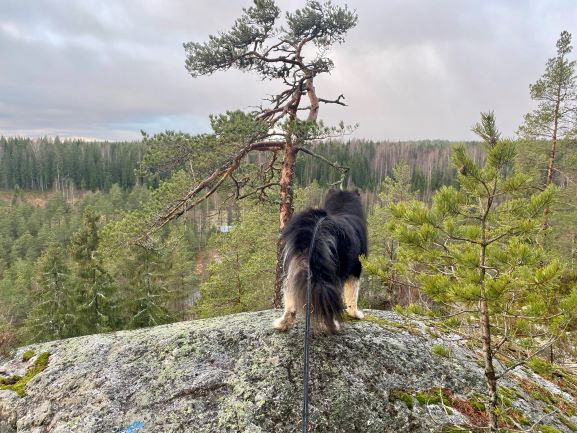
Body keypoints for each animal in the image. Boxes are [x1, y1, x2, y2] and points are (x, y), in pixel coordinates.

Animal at [272, 187, 366, 332]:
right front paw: (355, 314)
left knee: (290, 300)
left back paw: (282, 324)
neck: (341, 209)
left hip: (294, 268)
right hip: (335, 272)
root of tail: (318, 227)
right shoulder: (356, 269)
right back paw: (333, 326)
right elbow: (353, 296)